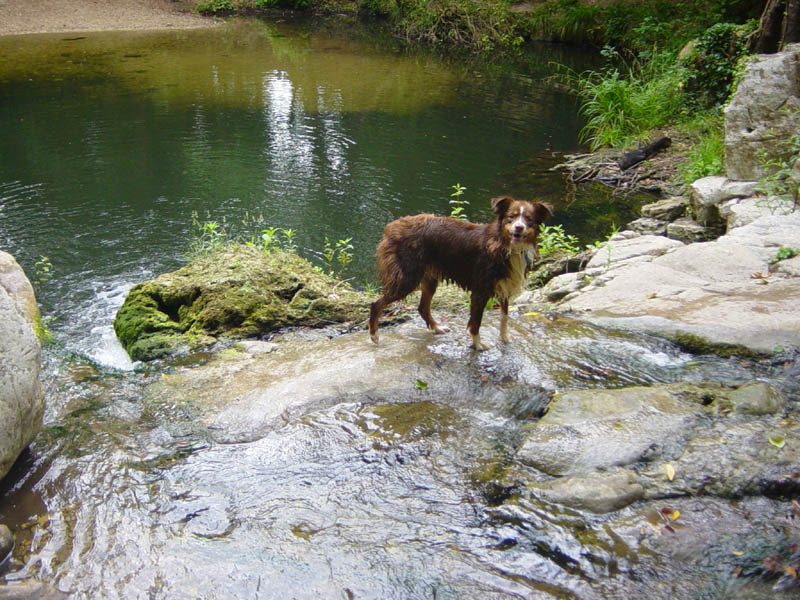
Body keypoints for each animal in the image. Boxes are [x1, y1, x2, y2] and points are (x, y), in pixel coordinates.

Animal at [368, 195, 552, 350]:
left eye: (528, 219)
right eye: (510, 217)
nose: (519, 228)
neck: (506, 246)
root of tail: (392, 226)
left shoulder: (504, 286)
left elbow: (504, 317)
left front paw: (504, 338)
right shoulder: (480, 290)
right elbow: (476, 322)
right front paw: (478, 345)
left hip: (429, 279)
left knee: (422, 307)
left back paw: (437, 328)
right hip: (408, 278)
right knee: (376, 304)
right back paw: (374, 336)